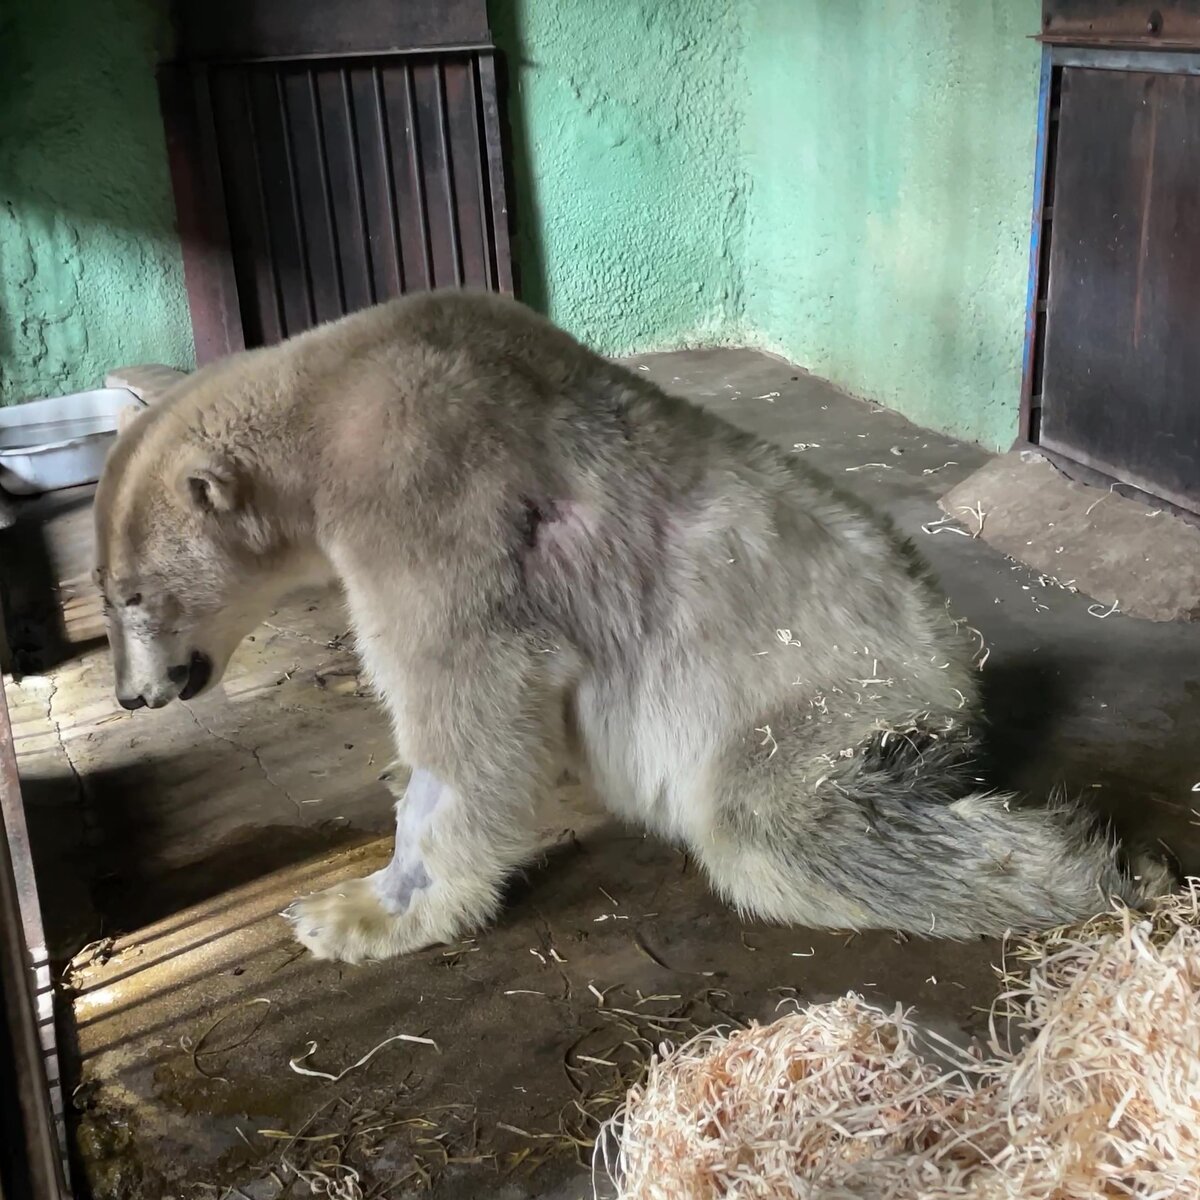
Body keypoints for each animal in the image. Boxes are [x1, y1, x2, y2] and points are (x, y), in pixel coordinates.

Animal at [93, 290, 1171, 964]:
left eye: (129, 595)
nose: (134, 693)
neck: (332, 394)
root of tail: (955, 666)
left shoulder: (424, 489)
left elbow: (467, 700)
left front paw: (357, 911)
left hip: (831, 699)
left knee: (775, 825)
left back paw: (1087, 870)